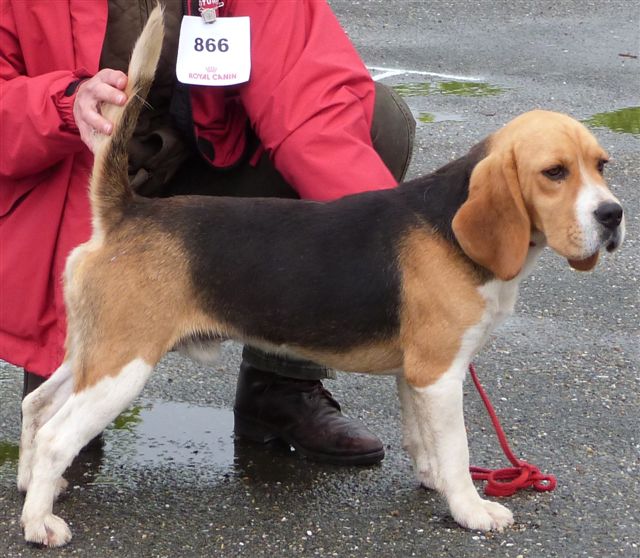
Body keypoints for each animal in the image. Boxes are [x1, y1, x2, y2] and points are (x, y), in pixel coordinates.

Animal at [16, 6, 624, 548]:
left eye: (602, 166)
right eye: (554, 173)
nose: (613, 215)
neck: (450, 219)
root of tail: (127, 211)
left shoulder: (416, 375)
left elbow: (423, 439)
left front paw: (433, 483)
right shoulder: (439, 373)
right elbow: (456, 448)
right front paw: (471, 509)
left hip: (95, 353)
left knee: (37, 407)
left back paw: (30, 488)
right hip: (124, 364)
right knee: (56, 436)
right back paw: (41, 524)